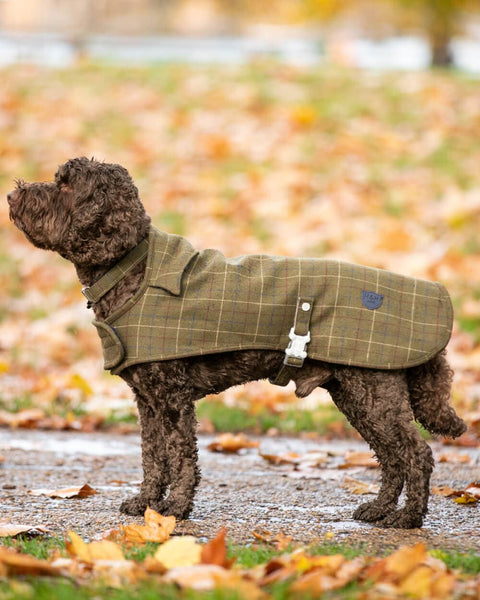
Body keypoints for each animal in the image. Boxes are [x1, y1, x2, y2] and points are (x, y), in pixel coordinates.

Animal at [6, 158, 464, 528]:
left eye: (66, 186)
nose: (13, 192)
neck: (130, 268)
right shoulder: (148, 401)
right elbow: (152, 455)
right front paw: (146, 502)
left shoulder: (172, 398)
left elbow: (180, 455)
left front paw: (175, 509)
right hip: (358, 395)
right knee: (392, 457)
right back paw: (380, 510)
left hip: (375, 393)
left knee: (416, 454)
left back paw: (408, 518)